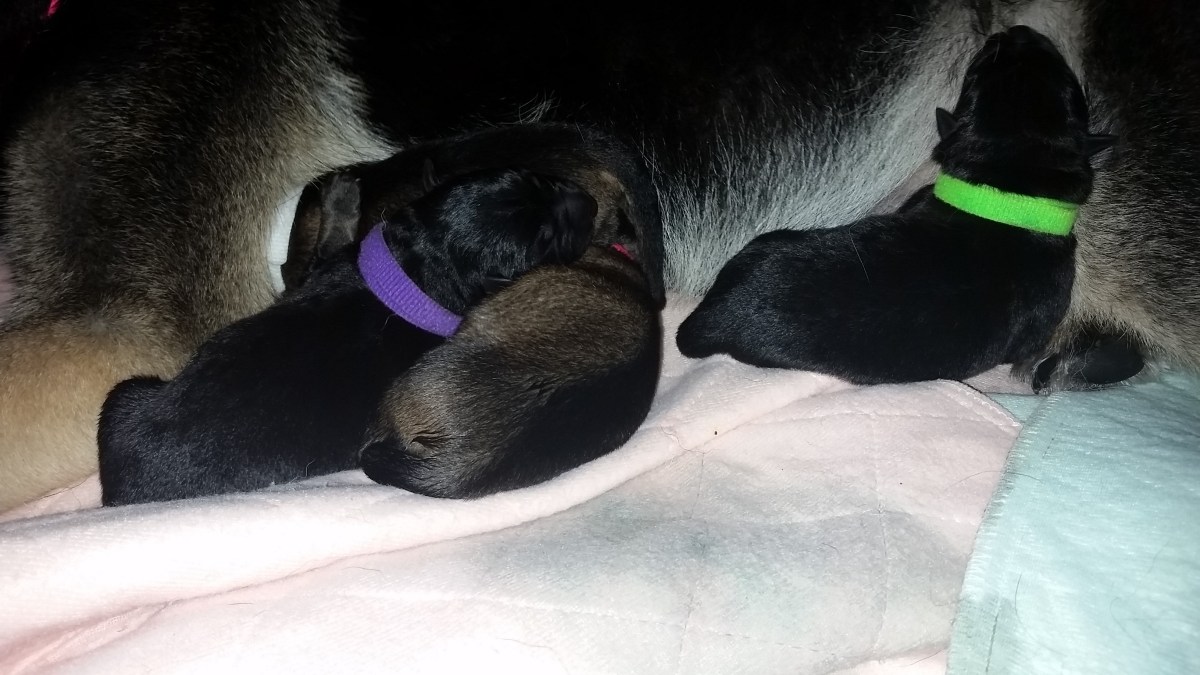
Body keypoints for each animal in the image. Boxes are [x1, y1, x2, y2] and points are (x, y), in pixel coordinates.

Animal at [97, 167, 594, 505]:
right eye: (547, 239)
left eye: (540, 180)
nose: (587, 199)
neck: (420, 266)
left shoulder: (324, 268)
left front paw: (340, 199)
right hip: (126, 394)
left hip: (123, 397)